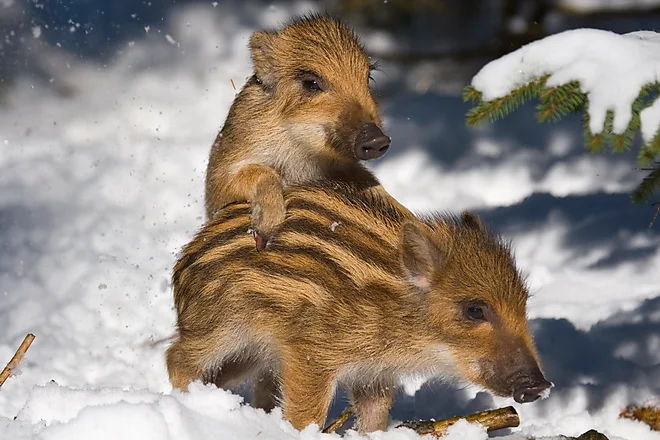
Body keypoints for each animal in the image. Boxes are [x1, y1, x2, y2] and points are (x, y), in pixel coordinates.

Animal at [167, 182, 551, 433]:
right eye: (475, 310)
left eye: (524, 303)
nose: (540, 386)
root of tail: (186, 257)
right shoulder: (310, 355)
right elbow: (305, 415)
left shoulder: (374, 375)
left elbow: (373, 417)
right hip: (219, 328)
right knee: (177, 359)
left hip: (247, 354)